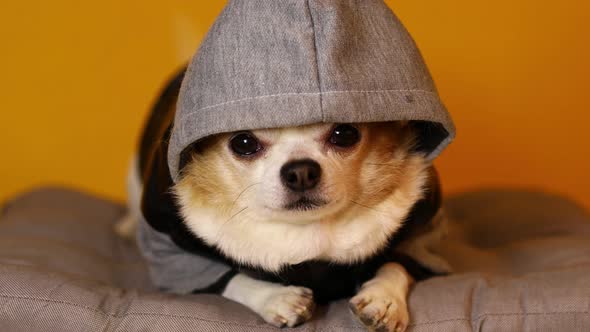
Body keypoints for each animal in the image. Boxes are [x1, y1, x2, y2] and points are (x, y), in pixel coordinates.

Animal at [119, 71, 454, 330]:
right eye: (243, 142)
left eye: (345, 133)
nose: (300, 171)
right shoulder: (168, 248)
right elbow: (229, 278)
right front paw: (274, 298)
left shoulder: (424, 234)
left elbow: (398, 264)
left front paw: (385, 298)